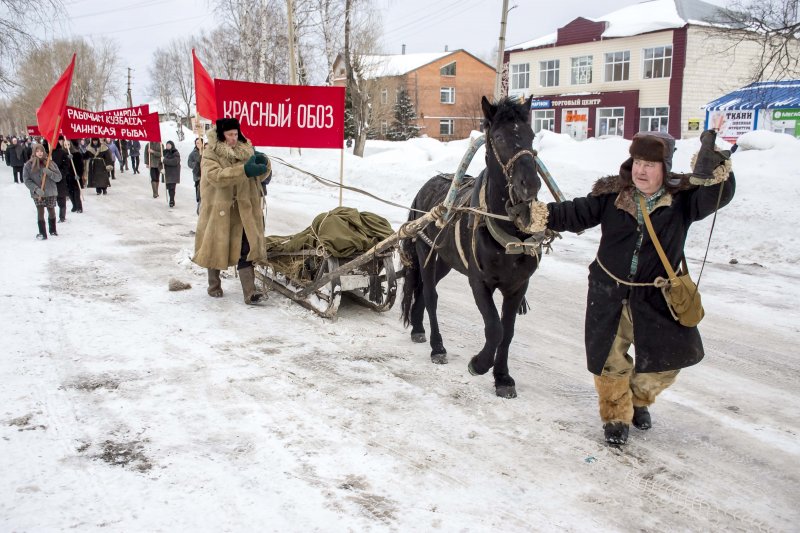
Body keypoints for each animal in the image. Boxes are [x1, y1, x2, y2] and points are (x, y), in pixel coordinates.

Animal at [400, 95, 544, 396]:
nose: (530, 184)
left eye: (531, 135)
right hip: (426, 255)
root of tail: (426, 188)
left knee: (422, 292)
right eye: (499, 137)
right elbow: (494, 327)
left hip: (444, 260)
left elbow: (508, 331)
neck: (506, 228)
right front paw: (479, 364)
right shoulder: (479, 281)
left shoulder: (518, 285)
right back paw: (437, 346)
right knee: (430, 295)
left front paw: (502, 377)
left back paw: (418, 327)